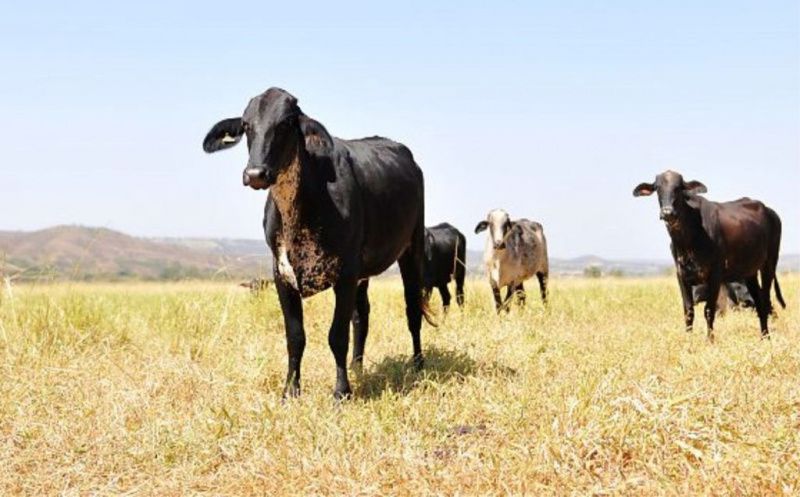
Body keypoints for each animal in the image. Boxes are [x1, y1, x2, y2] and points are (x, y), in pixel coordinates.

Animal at [203, 87, 432, 399]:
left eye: (286, 123)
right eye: (247, 125)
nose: (255, 174)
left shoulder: (345, 273)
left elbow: (337, 336)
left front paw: (342, 392)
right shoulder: (282, 275)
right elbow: (295, 337)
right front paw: (290, 390)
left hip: (412, 248)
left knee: (412, 309)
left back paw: (418, 365)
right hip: (363, 271)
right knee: (361, 316)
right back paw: (357, 368)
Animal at [633, 170, 785, 340]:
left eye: (679, 188)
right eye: (658, 188)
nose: (668, 212)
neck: (688, 238)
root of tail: (769, 211)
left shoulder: (715, 275)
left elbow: (709, 310)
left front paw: (709, 340)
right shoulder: (681, 276)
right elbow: (688, 311)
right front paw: (689, 340)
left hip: (769, 264)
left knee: (765, 300)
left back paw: (766, 337)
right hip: (750, 272)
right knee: (759, 301)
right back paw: (763, 335)